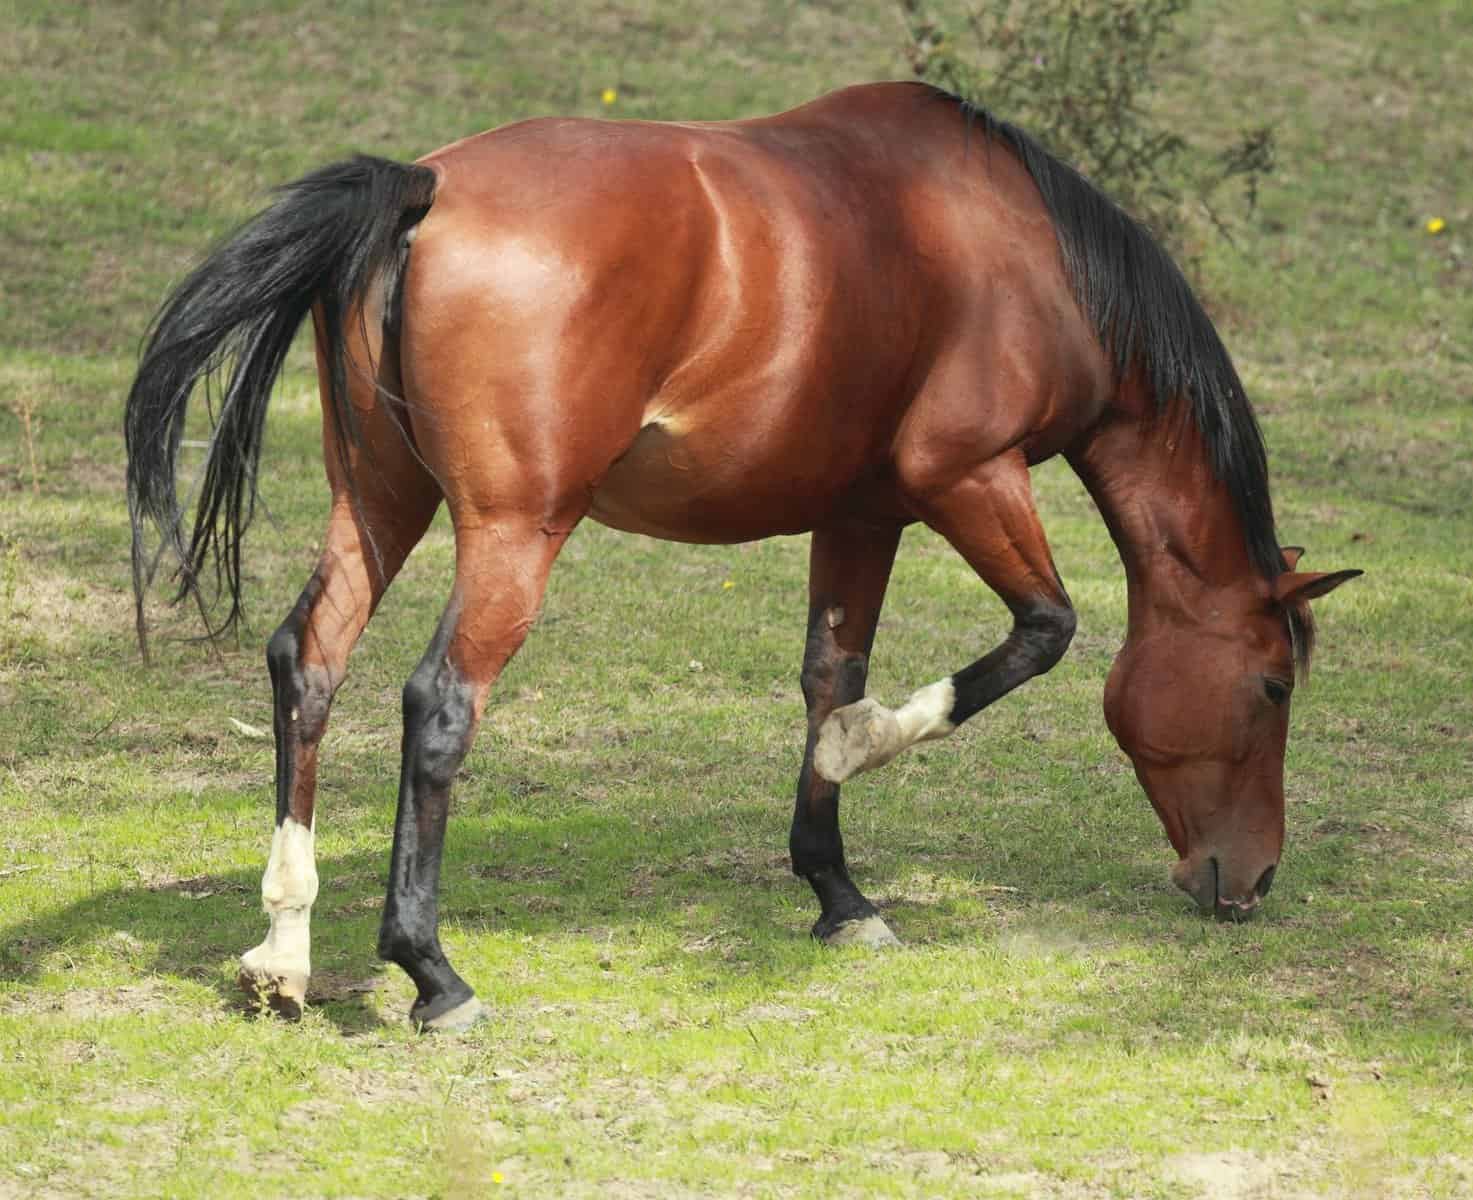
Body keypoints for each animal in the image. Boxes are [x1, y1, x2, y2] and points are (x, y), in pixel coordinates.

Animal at [124, 82, 1359, 1031]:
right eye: (1271, 686)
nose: (1252, 880)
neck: (1021, 250)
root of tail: (426, 188)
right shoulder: (967, 478)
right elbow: (1044, 630)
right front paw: (862, 751)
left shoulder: (861, 515)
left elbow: (830, 676)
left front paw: (839, 889)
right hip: (514, 535)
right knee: (437, 705)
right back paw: (431, 972)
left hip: (381, 504)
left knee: (309, 663)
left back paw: (284, 950)